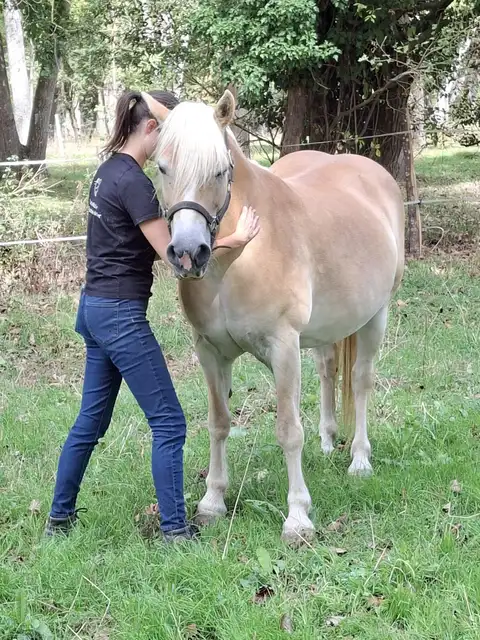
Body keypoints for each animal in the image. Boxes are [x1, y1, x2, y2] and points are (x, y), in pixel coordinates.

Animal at [142, 91, 405, 544]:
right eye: (162, 166)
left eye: (219, 170)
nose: (188, 253)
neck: (238, 259)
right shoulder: (210, 351)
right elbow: (218, 423)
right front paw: (212, 502)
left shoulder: (283, 347)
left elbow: (288, 430)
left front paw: (298, 517)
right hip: (325, 331)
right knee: (328, 369)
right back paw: (328, 442)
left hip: (376, 317)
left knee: (361, 382)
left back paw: (359, 460)